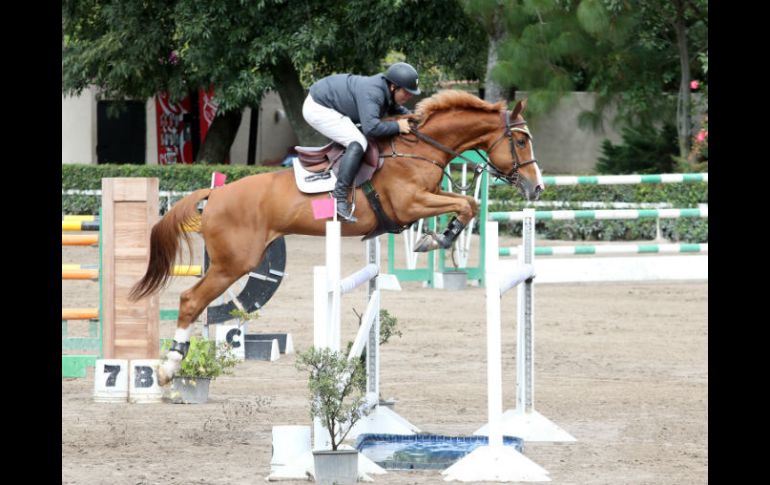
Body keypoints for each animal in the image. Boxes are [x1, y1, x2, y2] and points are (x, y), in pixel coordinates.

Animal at [129, 89, 544, 384]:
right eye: (521, 141)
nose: (537, 188)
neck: (418, 148)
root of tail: (215, 194)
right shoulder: (411, 205)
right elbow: (465, 204)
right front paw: (436, 240)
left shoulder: (426, 199)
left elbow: (467, 203)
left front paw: (438, 237)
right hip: (233, 264)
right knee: (190, 300)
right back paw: (169, 367)